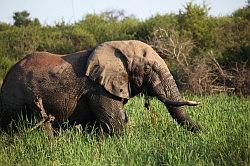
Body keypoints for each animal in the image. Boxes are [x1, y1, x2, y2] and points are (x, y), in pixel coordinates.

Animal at [0, 40, 199, 134]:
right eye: (148, 69)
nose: (203, 132)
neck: (120, 46)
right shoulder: (98, 89)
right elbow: (115, 124)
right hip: (15, 101)